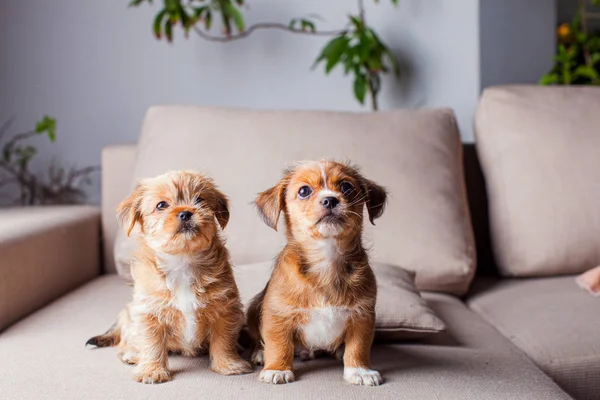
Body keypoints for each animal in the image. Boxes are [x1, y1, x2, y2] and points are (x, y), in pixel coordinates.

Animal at [86, 171, 251, 384]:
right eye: (161, 205)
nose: (185, 213)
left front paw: (228, 364)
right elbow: (152, 344)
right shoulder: (149, 314)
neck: (182, 261)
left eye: (200, 200)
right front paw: (151, 371)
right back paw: (132, 354)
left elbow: (223, 340)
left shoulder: (225, 309)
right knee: (127, 341)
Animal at [246, 161, 386, 386]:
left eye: (347, 187)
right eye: (304, 191)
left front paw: (360, 371)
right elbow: (278, 345)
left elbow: (358, 348)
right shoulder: (277, 315)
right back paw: (260, 353)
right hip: (253, 308)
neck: (326, 259)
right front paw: (277, 369)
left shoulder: (362, 317)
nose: (330, 200)